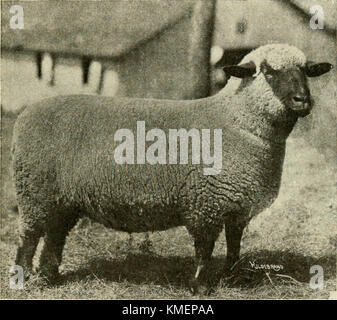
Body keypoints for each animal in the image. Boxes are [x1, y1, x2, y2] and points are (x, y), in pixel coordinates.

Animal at [11, 43, 332, 294]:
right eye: (269, 72)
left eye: (306, 71)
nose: (303, 100)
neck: (236, 121)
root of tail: (26, 112)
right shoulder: (205, 201)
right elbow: (204, 248)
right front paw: (200, 286)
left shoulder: (237, 205)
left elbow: (234, 244)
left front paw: (234, 278)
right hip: (34, 190)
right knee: (29, 236)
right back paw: (22, 279)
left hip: (62, 198)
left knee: (55, 235)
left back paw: (48, 277)